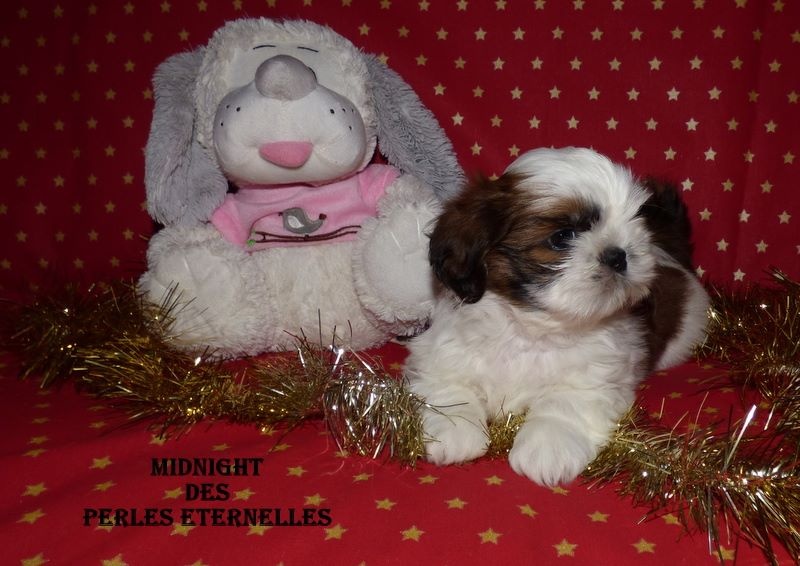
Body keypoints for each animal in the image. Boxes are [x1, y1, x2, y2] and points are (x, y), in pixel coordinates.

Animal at [405, 147, 709, 486]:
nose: (619, 254)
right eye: (562, 237)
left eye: (635, 226)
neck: (531, 328)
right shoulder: (440, 354)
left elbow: (563, 402)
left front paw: (548, 447)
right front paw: (455, 430)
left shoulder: (599, 375)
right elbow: (448, 385)